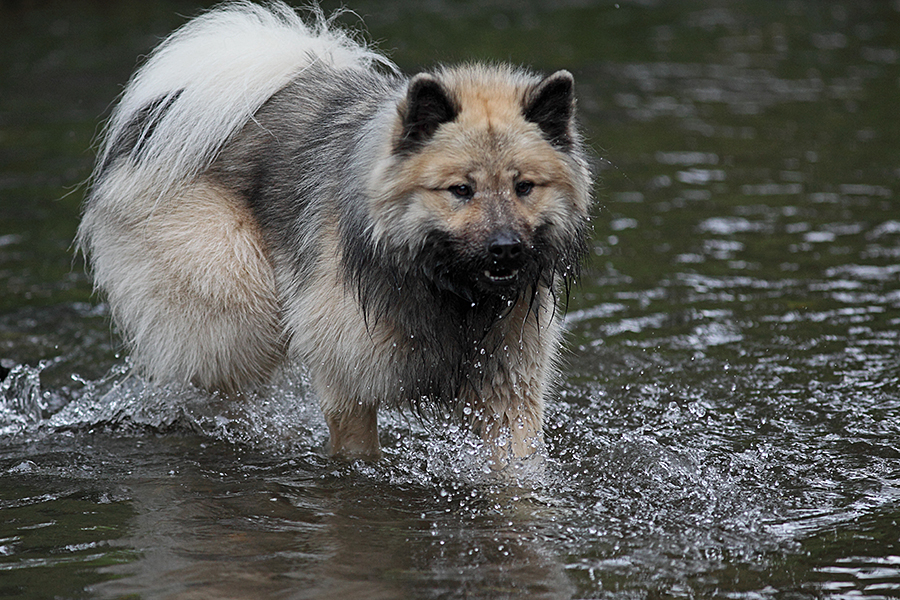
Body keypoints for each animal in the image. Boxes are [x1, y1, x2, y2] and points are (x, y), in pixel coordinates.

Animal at [77, 0, 596, 466]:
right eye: (460, 190)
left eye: (524, 186)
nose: (505, 249)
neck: (446, 291)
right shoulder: (349, 384)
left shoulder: (508, 391)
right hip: (235, 301)